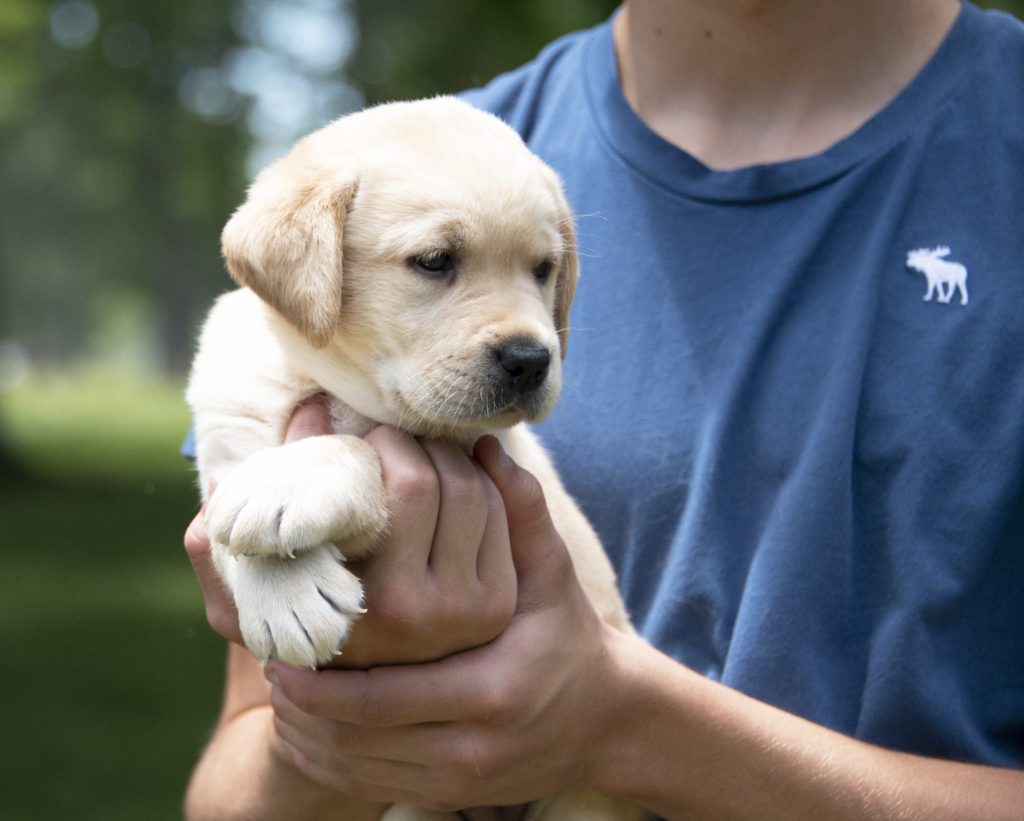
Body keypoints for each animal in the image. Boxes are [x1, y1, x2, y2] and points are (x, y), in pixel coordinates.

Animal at [188, 97, 643, 818]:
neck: (329, 381)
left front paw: (287, 490)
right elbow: (232, 522)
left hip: (587, 800)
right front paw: (285, 590)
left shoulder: (466, 445)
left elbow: (356, 448)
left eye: (543, 270)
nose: (531, 359)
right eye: (435, 261)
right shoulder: (225, 443)